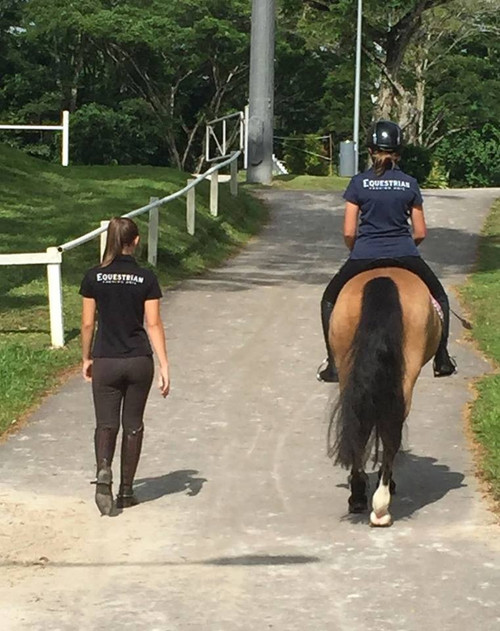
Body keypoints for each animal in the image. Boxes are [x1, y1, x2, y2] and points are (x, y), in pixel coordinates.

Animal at [328, 268, 442, 528]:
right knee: (390, 433)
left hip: (349, 370)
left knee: (360, 425)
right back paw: (380, 506)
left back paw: (361, 498)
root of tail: (383, 278)